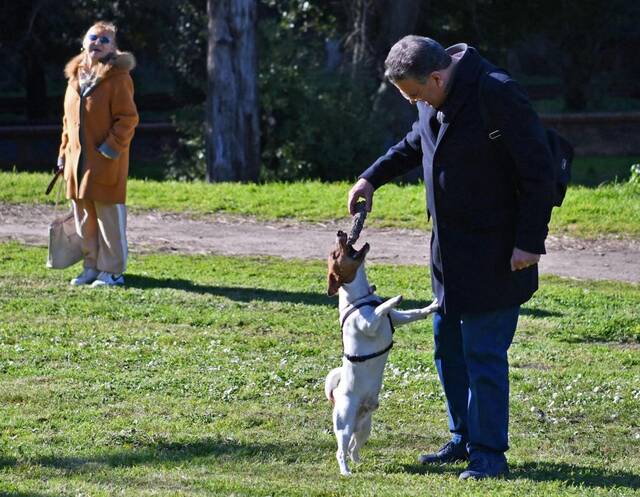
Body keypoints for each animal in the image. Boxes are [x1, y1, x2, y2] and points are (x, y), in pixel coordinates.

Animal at [328, 231, 438, 474]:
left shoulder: (397, 319)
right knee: (341, 450)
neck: (359, 299)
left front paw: (433, 306)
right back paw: (346, 471)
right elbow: (381, 307)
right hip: (344, 423)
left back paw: (359, 462)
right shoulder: (368, 324)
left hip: (364, 428)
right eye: (335, 254)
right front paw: (394, 298)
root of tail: (334, 395)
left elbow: (414, 312)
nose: (340, 232)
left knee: (353, 447)